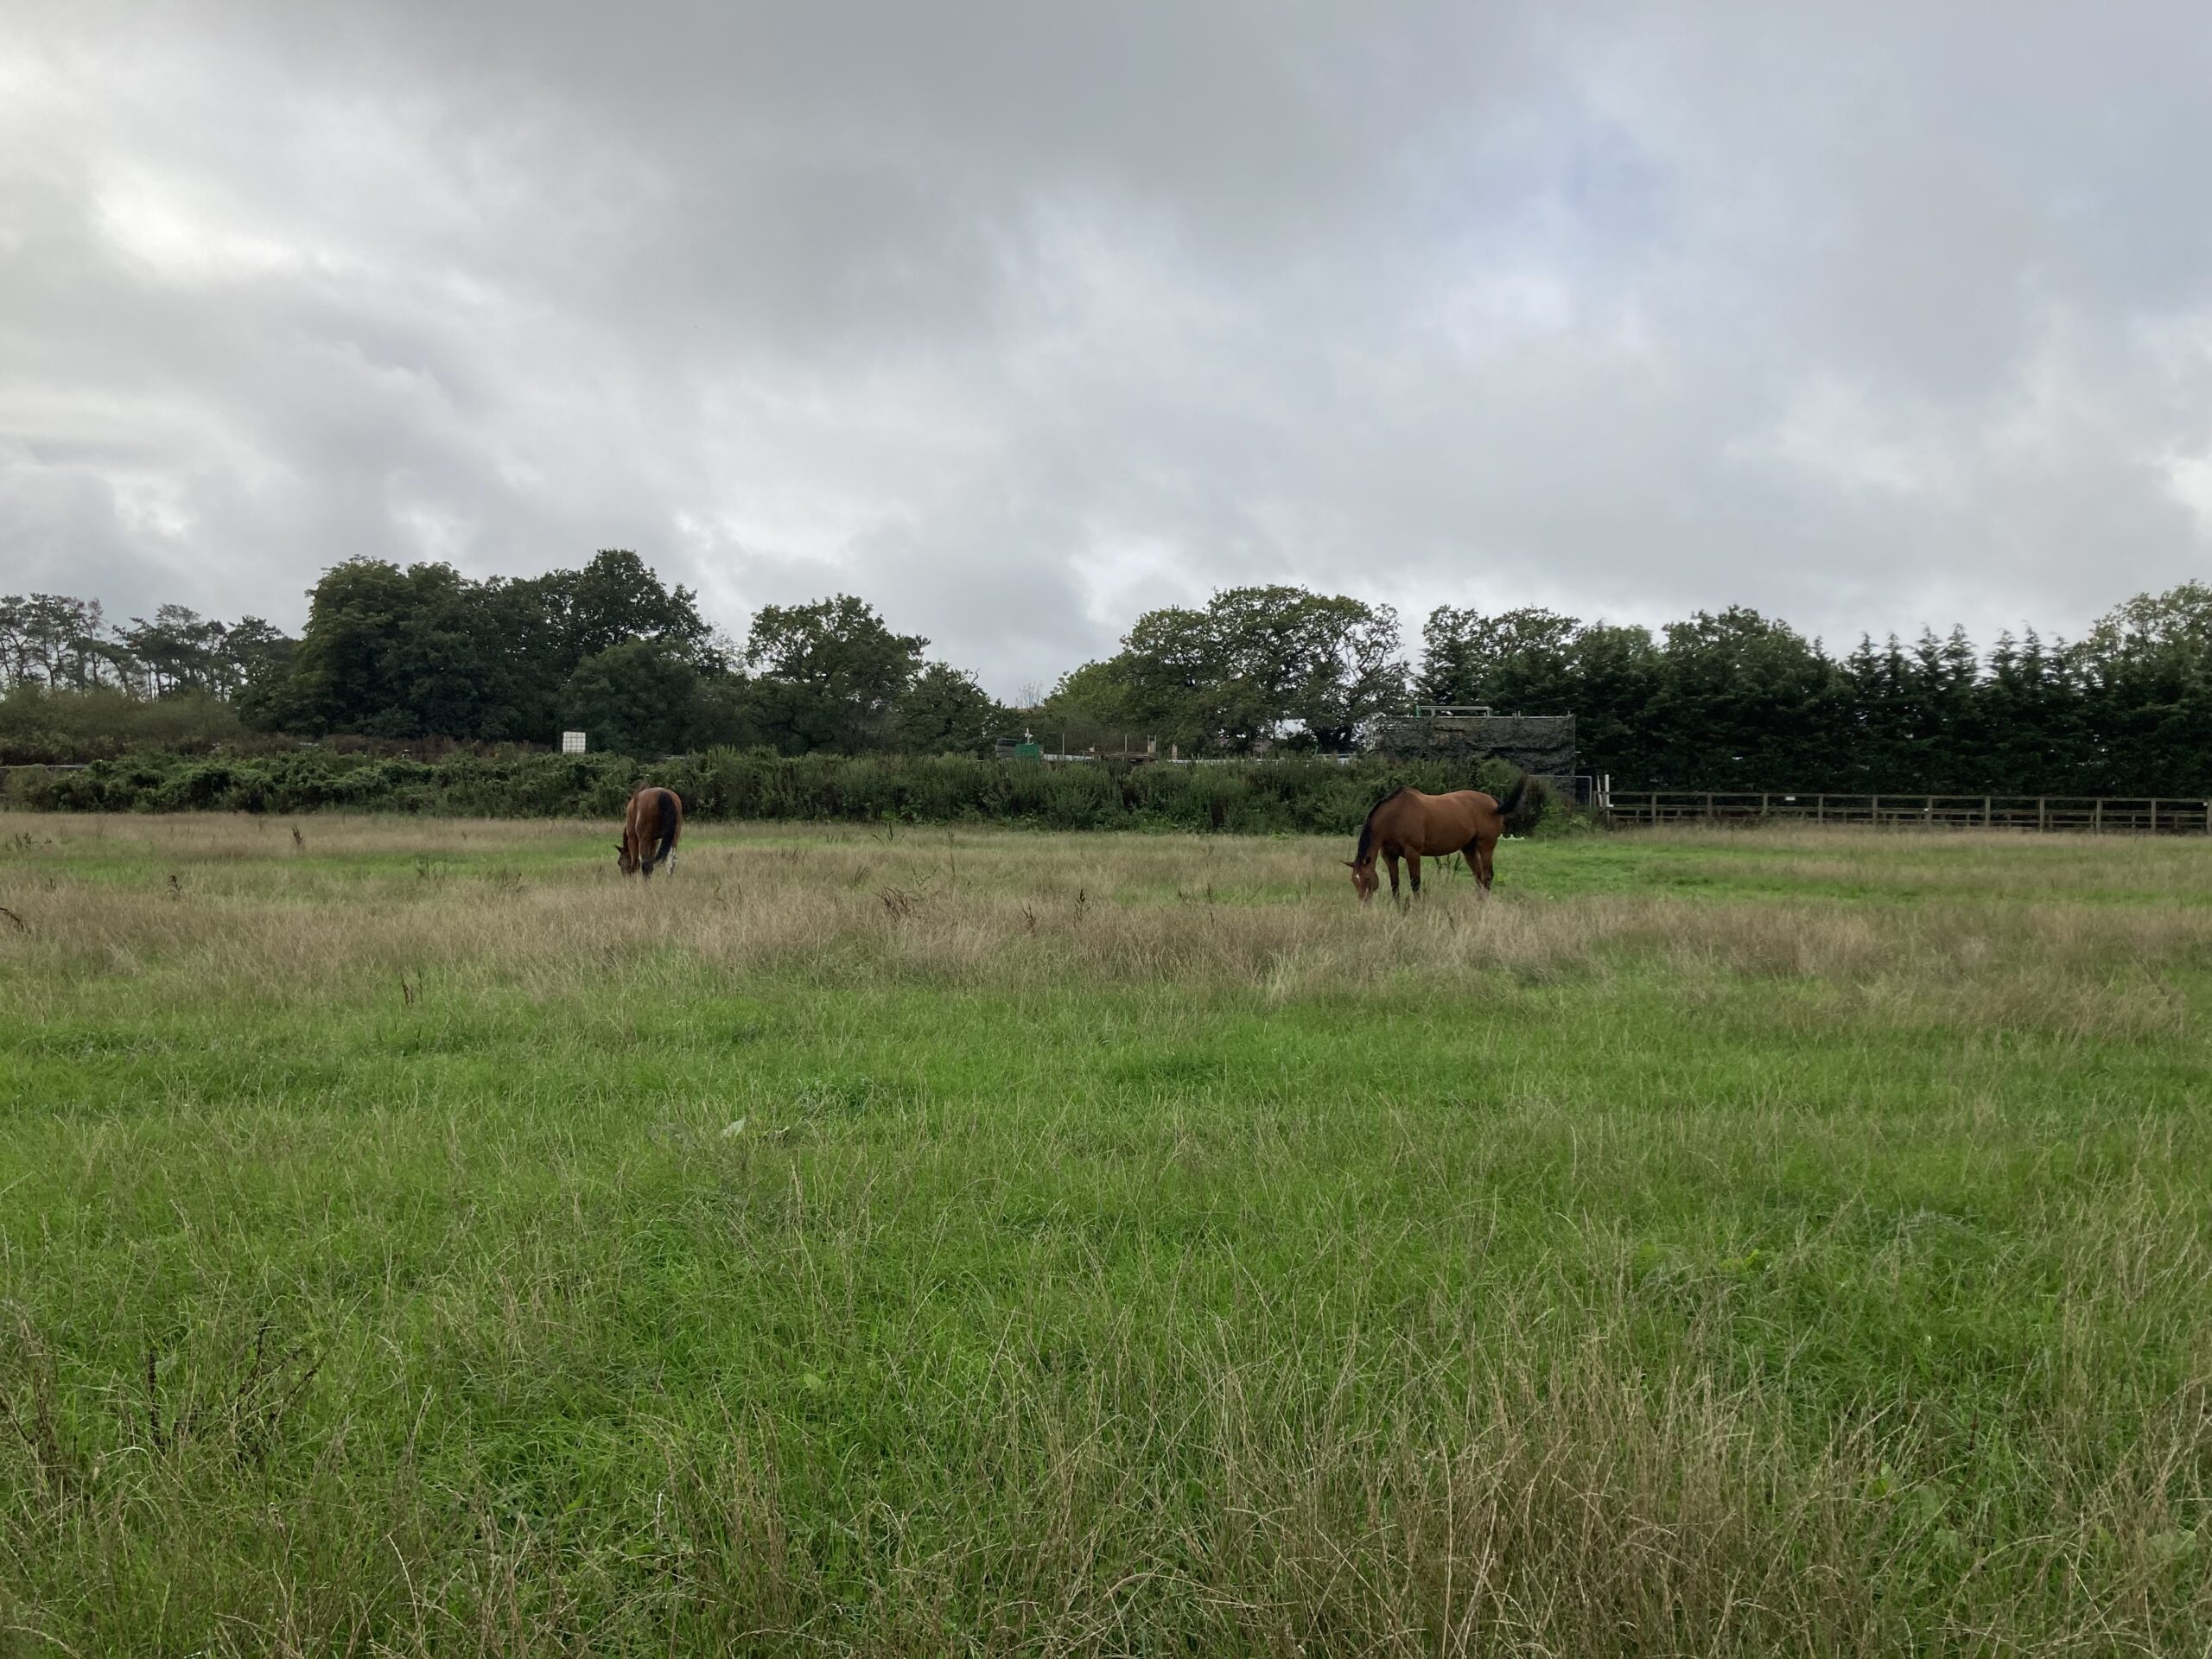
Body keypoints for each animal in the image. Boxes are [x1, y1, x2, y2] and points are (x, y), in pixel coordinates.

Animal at [1346, 776, 1527, 903]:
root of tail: (1494, 805)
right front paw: (1397, 908)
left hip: (1486, 846)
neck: (1395, 817)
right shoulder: (1389, 856)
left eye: (1367, 878)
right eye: (1354, 880)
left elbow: (1415, 883)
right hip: (1469, 849)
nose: (1364, 903)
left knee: (1488, 876)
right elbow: (1395, 883)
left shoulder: (1413, 853)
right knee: (1479, 876)